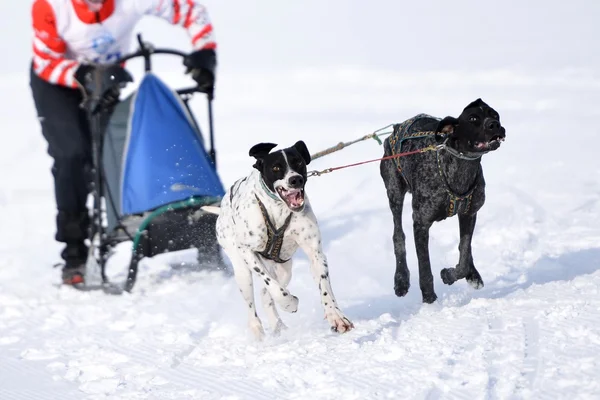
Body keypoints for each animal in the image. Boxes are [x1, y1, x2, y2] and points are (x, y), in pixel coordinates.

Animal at [204, 141, 354, 340]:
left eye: (298, 162)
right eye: (276, 167)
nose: (295, 180)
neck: (278, 210)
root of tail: (221, 209)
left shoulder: (316, 254)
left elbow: (324, 287)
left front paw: (336, 316)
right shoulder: (247, 251)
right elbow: (275, 289)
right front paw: (290, 303)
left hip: (284, 271)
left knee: (265, 295)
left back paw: (278, 326)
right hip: (242, 271)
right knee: (253, 304)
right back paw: (258, 331)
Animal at [382, 98, 504, 302]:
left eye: (495, 115)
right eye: (473, 118)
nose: (494, 125)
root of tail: (396, 128)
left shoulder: (469, 214)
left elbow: (464, 254)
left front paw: (451, 274)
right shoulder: (421, 223)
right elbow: (424, 268)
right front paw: (429, 298)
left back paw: (473, 274)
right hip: (394, 192)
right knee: (398, 235)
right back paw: (401, 280)